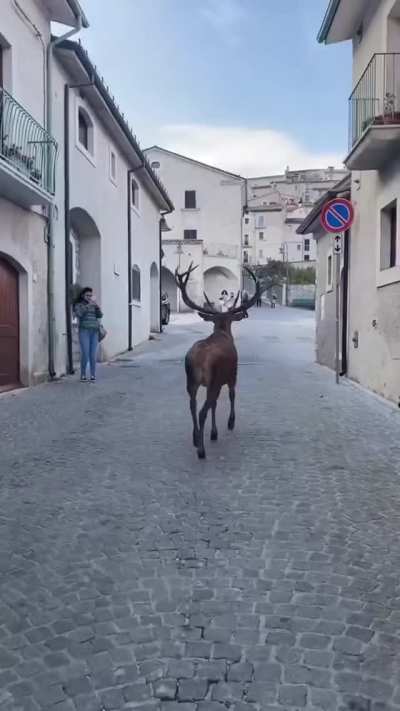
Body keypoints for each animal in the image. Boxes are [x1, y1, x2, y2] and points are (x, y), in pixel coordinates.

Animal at [175, 263, 261, 459]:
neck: (222, 332)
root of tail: (197, 360)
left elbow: (215, 404)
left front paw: (213, 433)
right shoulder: (232, 375)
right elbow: (231, 396)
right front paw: (228, 424)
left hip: (191, 381)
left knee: (192, 405)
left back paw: (195, 438)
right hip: (213, 379)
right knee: (202, 410)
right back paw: (201, 450)